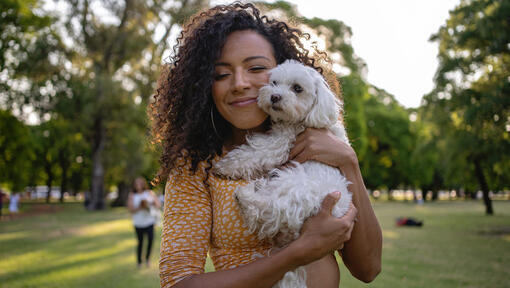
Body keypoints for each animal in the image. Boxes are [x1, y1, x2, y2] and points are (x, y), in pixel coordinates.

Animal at [213, 59, 352, 286]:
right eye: (274, 83)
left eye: (297, 88)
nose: (274, 96)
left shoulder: (281, 142)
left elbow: (254, 152)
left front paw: (224, 166)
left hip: (292, 184)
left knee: (262, 208)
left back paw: (246, 194)